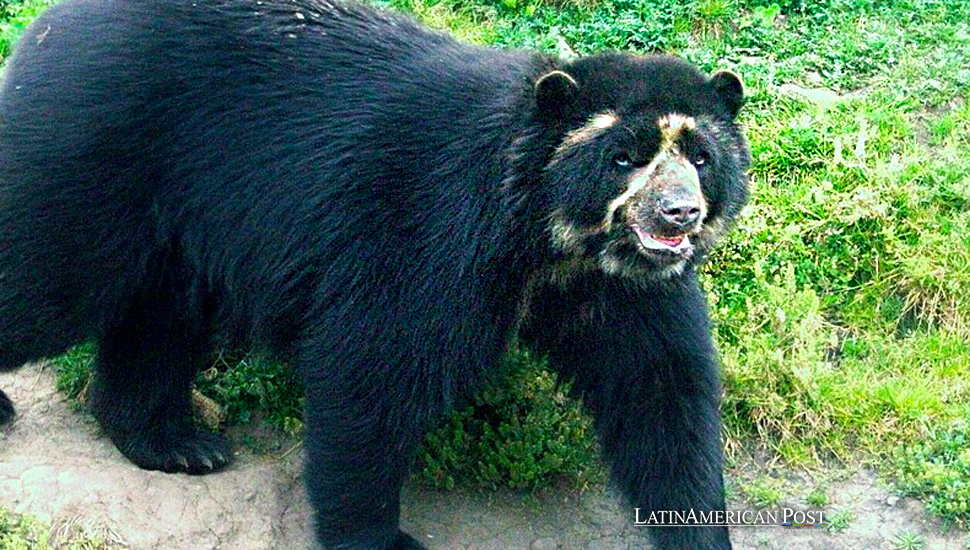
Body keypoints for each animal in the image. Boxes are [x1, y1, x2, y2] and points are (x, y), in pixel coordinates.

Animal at [0, 1, 748, 550]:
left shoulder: (626, 289)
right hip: (91, 151)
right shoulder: (430, 236)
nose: (679, 213)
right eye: (625, 156)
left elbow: (660, 387)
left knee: (157, 316)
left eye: (701, 157)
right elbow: (374, 368)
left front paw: (697, 532)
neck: (551, 241)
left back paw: (175, 443)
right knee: (42, 276)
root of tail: (47, 24)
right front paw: (380, 538)